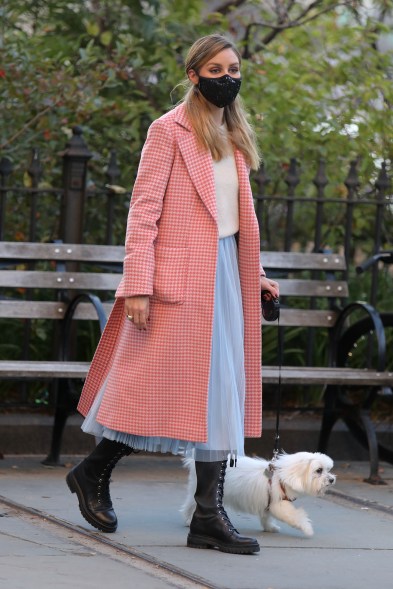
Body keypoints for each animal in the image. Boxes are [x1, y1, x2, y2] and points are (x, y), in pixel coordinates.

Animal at [179, 450, 336, 536]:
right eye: (319, 470)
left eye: (328, 469)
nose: (332, 479)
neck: (284, 476)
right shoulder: (279, 504)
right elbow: (296, 515)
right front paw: (307, 528)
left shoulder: (268, 503)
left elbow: (266, 517)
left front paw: (270, 527)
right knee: (190, 505)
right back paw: (189, 520)